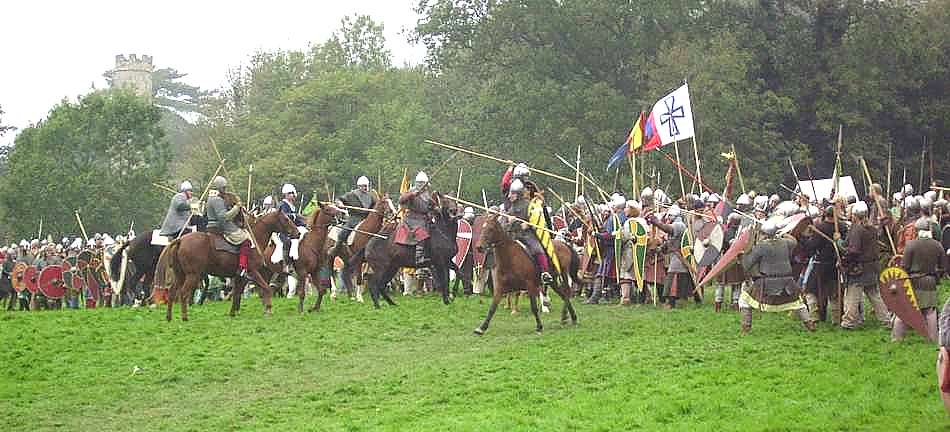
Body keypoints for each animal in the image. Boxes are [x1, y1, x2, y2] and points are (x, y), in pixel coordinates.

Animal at [163, 209, 300, 321]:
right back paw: (184, 317)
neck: (255, 239)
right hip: (193, 275)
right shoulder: (253, 272)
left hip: (181, 275)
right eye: (286, 219)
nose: (298, 233)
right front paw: (268, 309)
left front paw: (233, 312)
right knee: (183, 293)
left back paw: (169, 317)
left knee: (172, 292)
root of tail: (181, 240)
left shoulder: (240, 276)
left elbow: (237, 293)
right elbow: (266, 288)